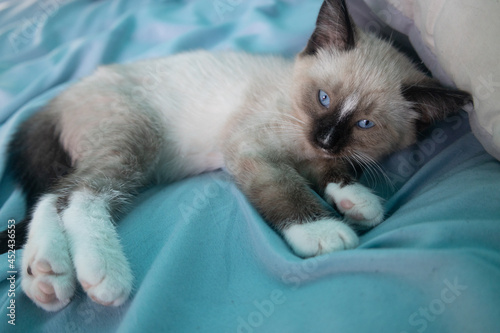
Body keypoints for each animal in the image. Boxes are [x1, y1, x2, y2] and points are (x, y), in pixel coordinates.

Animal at [0, 0, 468, 312]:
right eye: (323, 98)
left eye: (364, 125)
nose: (327, 137)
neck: (299, 127)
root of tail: (64, 94)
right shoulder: (251, 146)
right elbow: (285, 187)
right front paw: (323, 231)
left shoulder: (317, 152)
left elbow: (331, 170)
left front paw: (358, 200)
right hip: (137, 140)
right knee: (76, 195)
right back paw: (101, 273)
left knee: (53, 195)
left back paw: (46, 275)